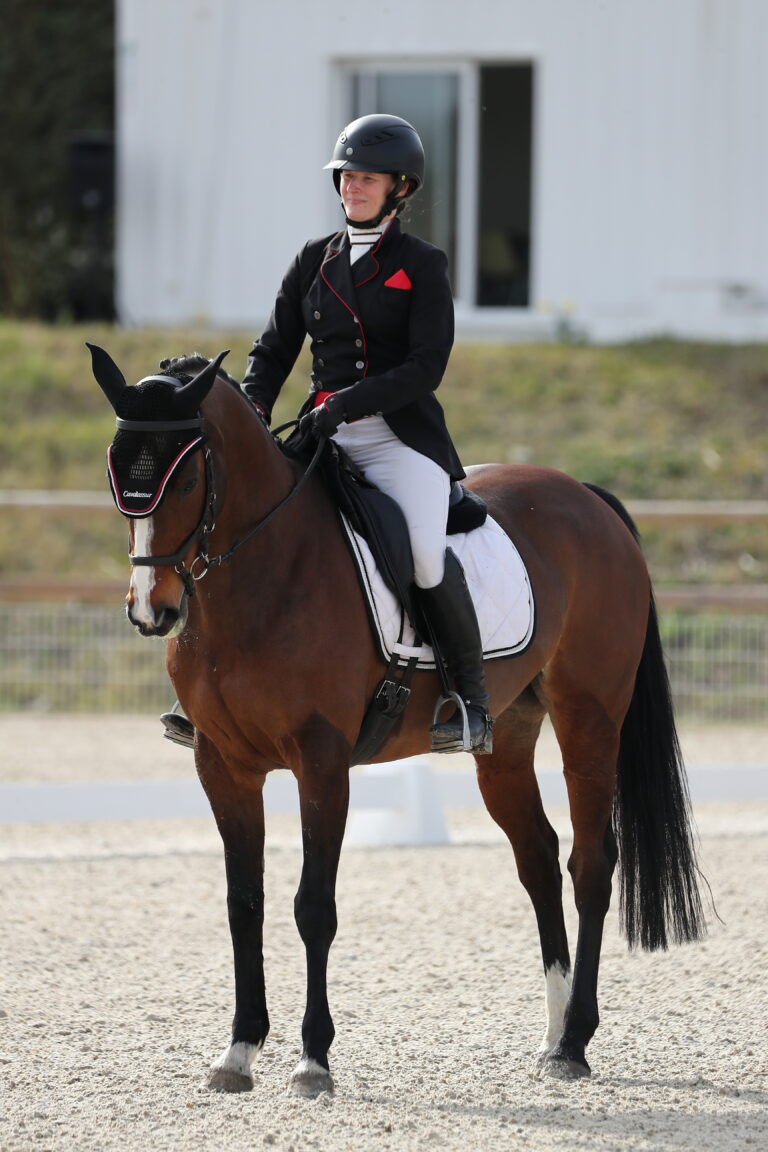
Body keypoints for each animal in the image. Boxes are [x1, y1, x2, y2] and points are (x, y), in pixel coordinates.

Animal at [86, 343, 704, 1096]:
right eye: (119, 477)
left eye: (182, 480)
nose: (152, 610)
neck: (262, 575)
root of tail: (589, 498)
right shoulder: (223, 765)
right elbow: (244, 904)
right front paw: (238, 1052)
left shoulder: (321, 761)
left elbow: (312, 908)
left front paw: (313, 1060)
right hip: (506, 738)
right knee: (537, 857)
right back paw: (553, 1033)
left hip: (590, 719)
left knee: (591, 862)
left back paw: (575, 1043)